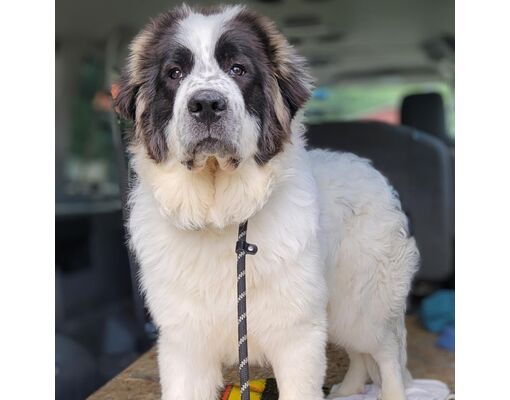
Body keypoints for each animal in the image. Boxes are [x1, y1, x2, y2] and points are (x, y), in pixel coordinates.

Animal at [114, 3, 418, 400]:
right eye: (174, 73)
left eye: (238, 69)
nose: (206, 104)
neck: (221, 217)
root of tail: (370, 170)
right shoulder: (185, 346)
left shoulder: (297, 338)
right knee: (360, 355)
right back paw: (348, 389)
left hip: (360, 306)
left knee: (386, 352)